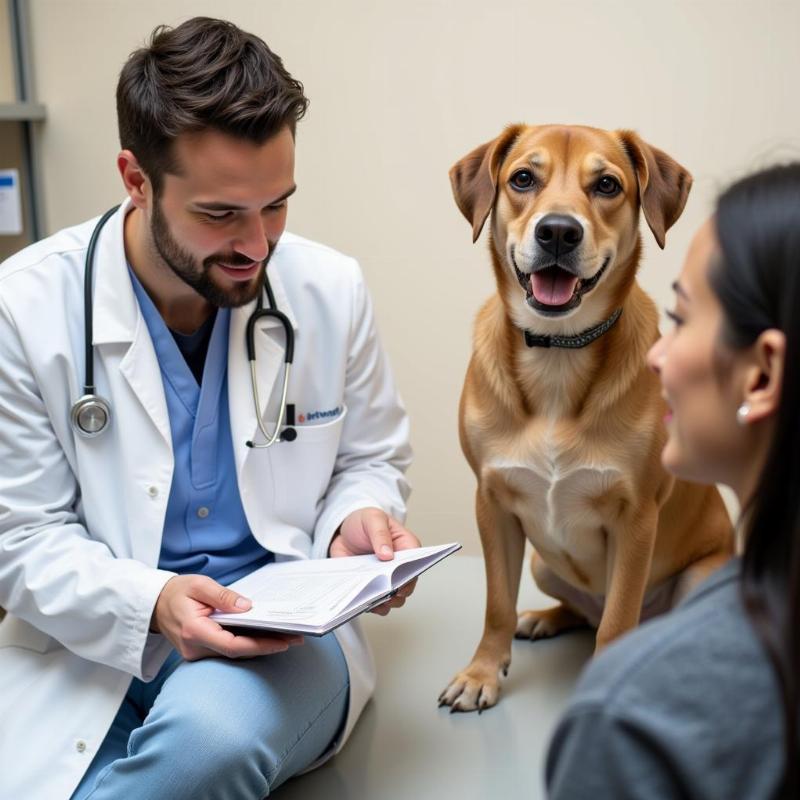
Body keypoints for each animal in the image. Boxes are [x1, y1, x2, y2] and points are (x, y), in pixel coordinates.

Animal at [440, 125, 736, 712]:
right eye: (522, 178)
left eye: (607, 185)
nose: (558, 231)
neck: (558, 356)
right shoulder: (493, 504)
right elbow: (496, 604)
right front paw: (483, 671)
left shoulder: (636, 518)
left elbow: (618, 620)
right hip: (542, 563)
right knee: (580, 611)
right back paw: (544, 618)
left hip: (701, 578)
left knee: (619, 618)